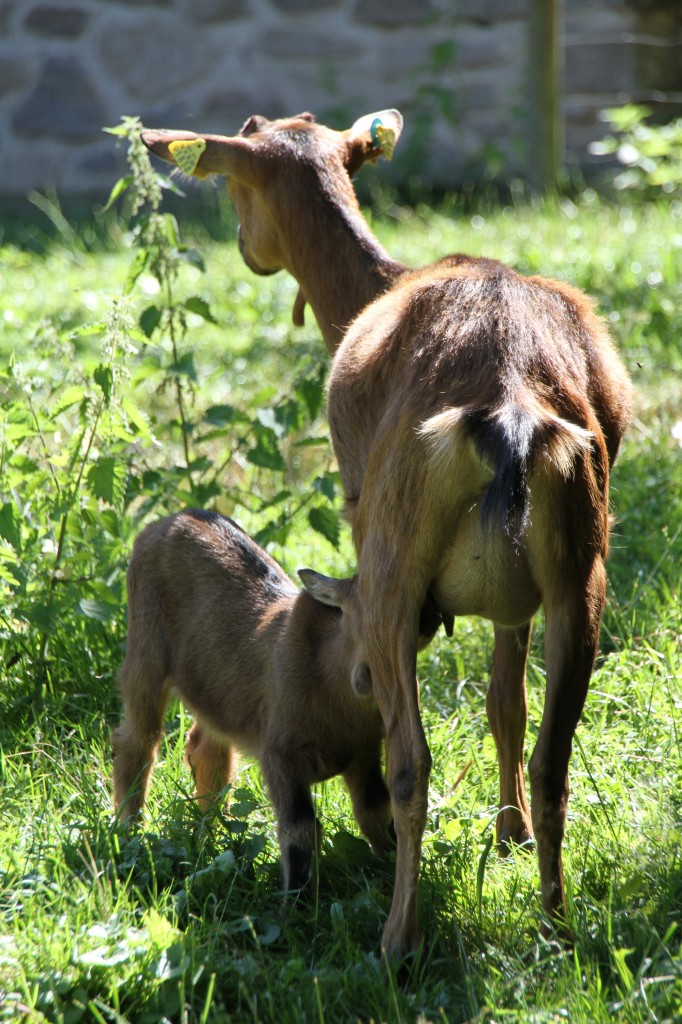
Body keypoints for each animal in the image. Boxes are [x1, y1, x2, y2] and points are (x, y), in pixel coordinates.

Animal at [142, 112, 630, 958]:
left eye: (235, 180)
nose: (245, 247)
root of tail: (510, 412)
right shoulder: (517, 599)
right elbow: (505, 702)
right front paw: (508, 837)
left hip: (393, 561)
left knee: (410, 765)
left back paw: (397, 940)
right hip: (581, 567)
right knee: (554, 759)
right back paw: (556, 926)